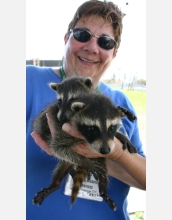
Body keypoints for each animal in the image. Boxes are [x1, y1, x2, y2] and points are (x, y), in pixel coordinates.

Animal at [32, 76, 137, 211]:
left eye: (74, 101)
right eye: (59, 101)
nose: (61, 118)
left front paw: (122, 135)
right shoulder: (61, 129)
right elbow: (58, 148)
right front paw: (87, 163)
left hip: (101, 160)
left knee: (103, 173)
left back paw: (103, 189)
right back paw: (55, 184)